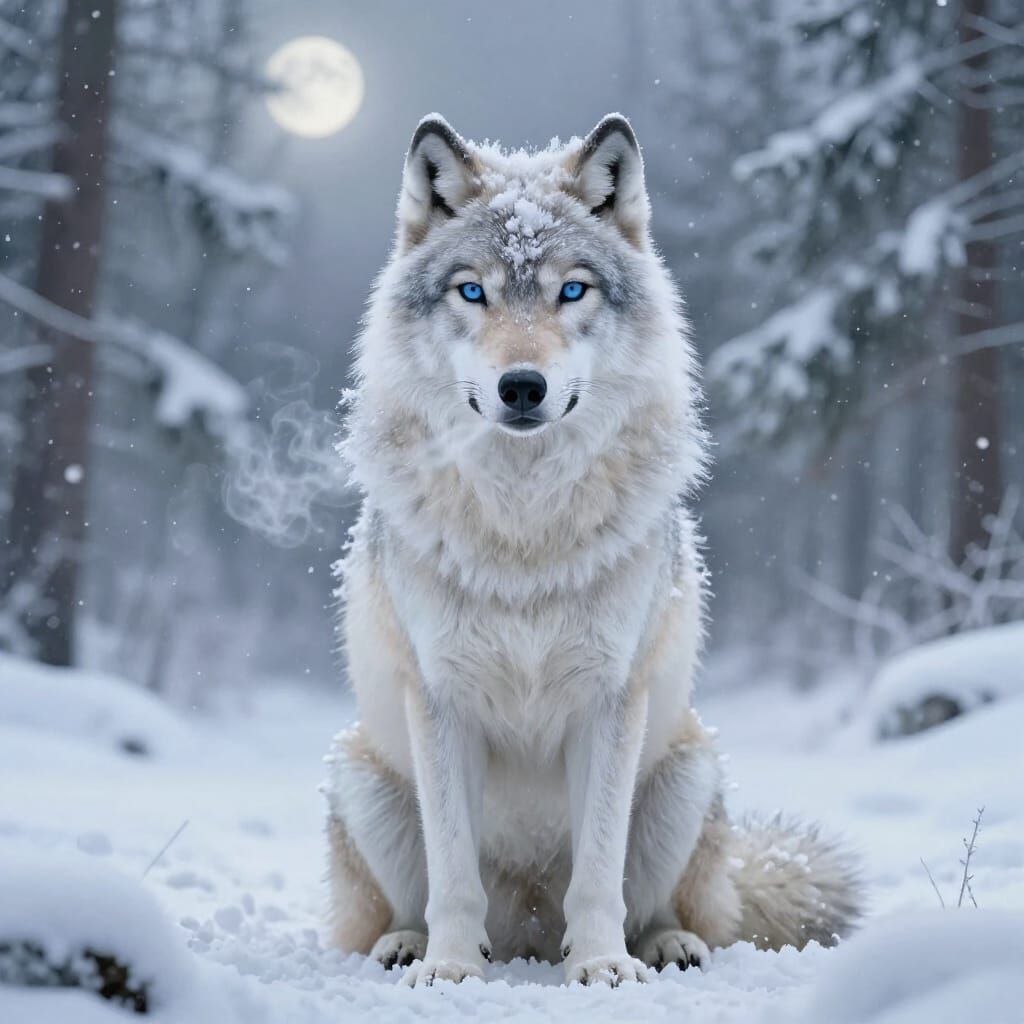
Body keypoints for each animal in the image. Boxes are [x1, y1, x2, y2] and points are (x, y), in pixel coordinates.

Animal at [323, 113, 860, 987]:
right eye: (472, 291)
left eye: (571, 290)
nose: (522, 387)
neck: (524, 526)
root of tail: (528, 937)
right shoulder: (441, 699)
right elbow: (452, 874)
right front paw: (451, 969)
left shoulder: (609, 698)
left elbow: (600, 872)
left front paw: (604, 965)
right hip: (361, 777)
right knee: (411, 901)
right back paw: (408, 945)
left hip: (686, 776)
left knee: (663, 905)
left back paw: (663, 946)